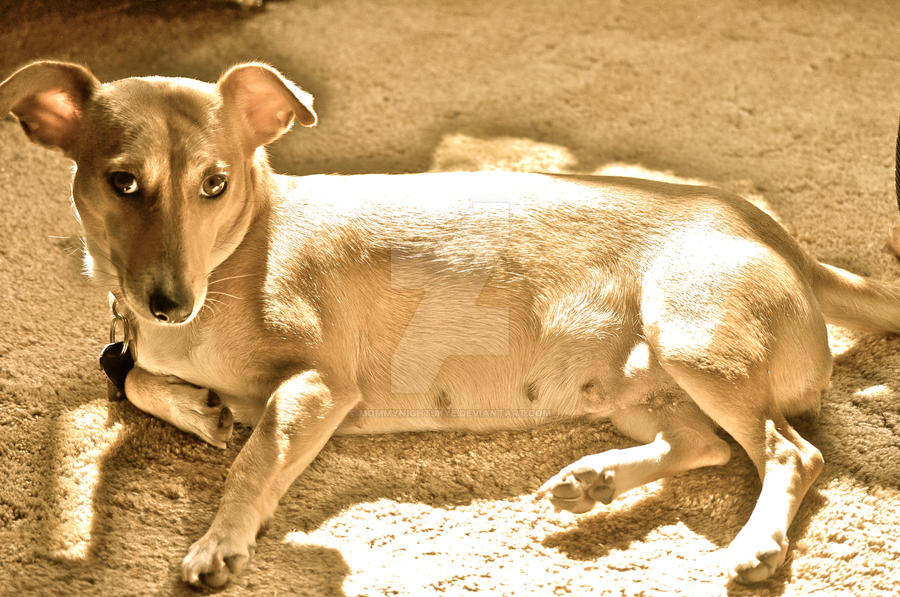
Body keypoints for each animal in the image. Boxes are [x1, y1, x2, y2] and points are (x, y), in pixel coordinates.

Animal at [1, 61, 900, 588]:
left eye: (215, 183)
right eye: (121, 182)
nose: (167, 302)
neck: (233, 260)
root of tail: (777, 232)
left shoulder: (317, 384)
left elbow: (252, 462)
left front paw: (218, 542)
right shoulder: (146, 348)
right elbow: (136, 380)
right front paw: (199, 407)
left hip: (695, 342)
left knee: (791, 451)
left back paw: (754, 544)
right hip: (641, 389)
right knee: (708, 445)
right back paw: (594, 481)